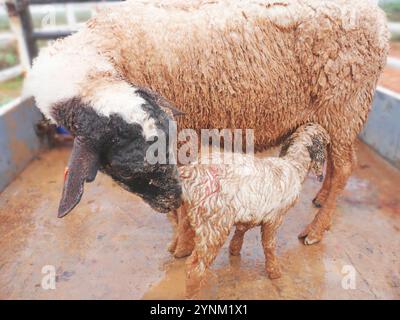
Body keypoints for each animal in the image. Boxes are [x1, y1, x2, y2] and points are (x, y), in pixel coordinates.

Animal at [24, 0, 388, 245]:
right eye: (125, 172)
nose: (170, 201)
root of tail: (378, 17)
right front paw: (178, 228)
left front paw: (183, 242)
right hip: (336, 112)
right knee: (335, 162)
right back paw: (322, 198)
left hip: (344, 101)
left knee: (345, 167)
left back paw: (316, 229)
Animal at [177, 124, 330, 282]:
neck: (293, 166)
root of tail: (190, 172)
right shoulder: (274, 217)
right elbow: (269, 245)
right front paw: (274, 272)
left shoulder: (252, 210)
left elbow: (241, 230)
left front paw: (234, 249)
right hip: (214, 224)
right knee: (195, 267)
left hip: (191, 213)